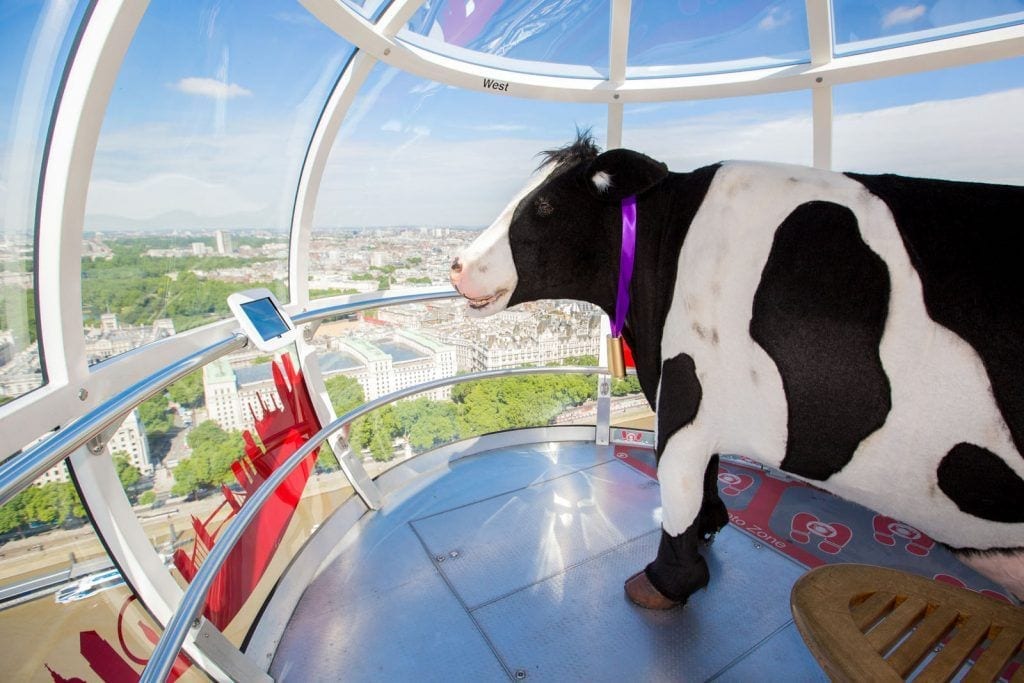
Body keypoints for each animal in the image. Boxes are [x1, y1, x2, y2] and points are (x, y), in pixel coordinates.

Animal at [450, 133, 1024, 610]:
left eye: (544, 206)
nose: (456, 264)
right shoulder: (697, 393)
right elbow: (708, 473)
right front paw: (711, 525)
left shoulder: (684, 391)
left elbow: (678, 484)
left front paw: (666, 582)